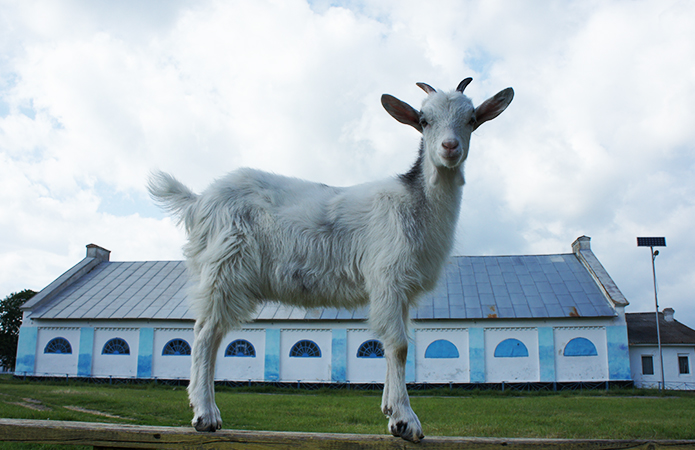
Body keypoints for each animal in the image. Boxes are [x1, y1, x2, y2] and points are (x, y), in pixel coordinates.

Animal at [148, 78, 512, 442]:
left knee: (214, 335)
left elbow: (392, 344)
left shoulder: (403, 290)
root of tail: (198, 201)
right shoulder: (387, 276)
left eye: (472, 120)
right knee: (205, 334)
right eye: (424, 121)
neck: (415, 204)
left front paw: (389, 410)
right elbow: (398, 346)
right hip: (225, 266)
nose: (450, 147)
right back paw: (205, 414)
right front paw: (406, 421)